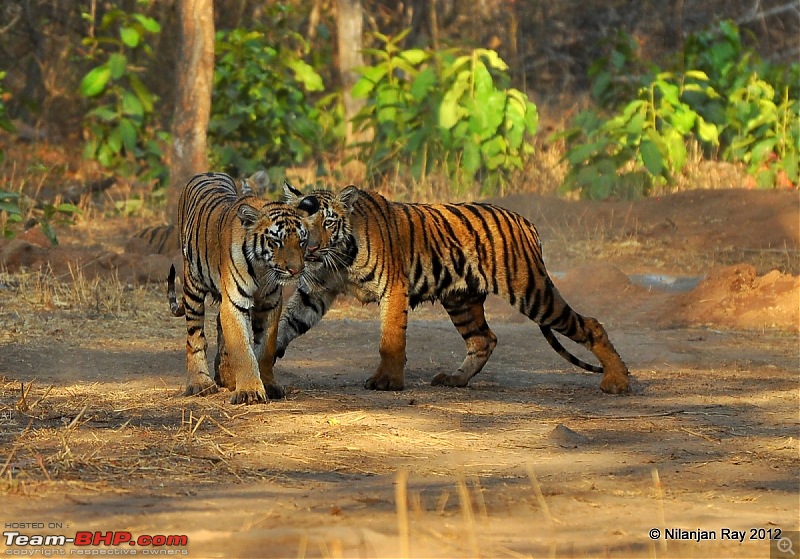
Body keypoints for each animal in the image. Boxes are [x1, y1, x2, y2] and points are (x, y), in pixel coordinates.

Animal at [170, 173, 322, 404]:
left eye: (302, 241)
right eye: (276, 242)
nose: (296, 270)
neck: (262, 268)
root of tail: (208, 173)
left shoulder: (270, 303)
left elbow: (265, 347)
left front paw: (268, 385)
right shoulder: (234, 303)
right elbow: (242, 348)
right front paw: (249, 391)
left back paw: (226, 376)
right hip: (192, 286)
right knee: (195, 337)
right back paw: (200, 383)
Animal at [278, 186, 636, 396]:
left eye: (327, 223)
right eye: (301, 226)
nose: (311, 249)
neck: (336, 259)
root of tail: (526, 222)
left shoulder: (393, 287)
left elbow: (390, 339)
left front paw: (387, 382)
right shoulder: (315, 290)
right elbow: (287, 322)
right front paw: (270, 356)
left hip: (532, 291)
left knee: (590, 324)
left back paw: (617, 381)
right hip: (461, 300)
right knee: (483, 339)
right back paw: (456, 379)